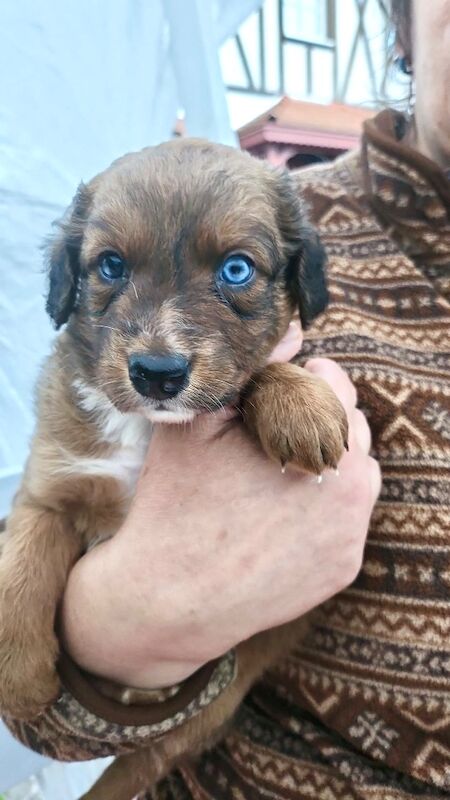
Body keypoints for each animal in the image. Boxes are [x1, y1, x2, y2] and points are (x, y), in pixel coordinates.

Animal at [0, 141, 348, 796]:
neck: (145, 432)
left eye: (236, 270)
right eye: (110, 266)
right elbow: (24, 559)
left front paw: (299, 402)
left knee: (147, 760)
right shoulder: (50, 484)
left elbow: (258, 370)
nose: (157, 374)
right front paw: (18, 675)